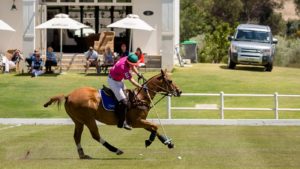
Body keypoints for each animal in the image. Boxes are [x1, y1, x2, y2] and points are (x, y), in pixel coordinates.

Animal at [43, 69, 182, 159]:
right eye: (170, 81)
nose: (179, 91)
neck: (141, 97)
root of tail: (68, 96)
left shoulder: (141, 120)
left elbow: (154, 128)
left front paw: (168, 142)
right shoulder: (135, 122)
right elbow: (155, 126)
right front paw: (149, 141)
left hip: (78, 121)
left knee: (77, 136)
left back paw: (82, 154)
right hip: (88, 119)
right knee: (95, 135)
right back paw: (116, 150)